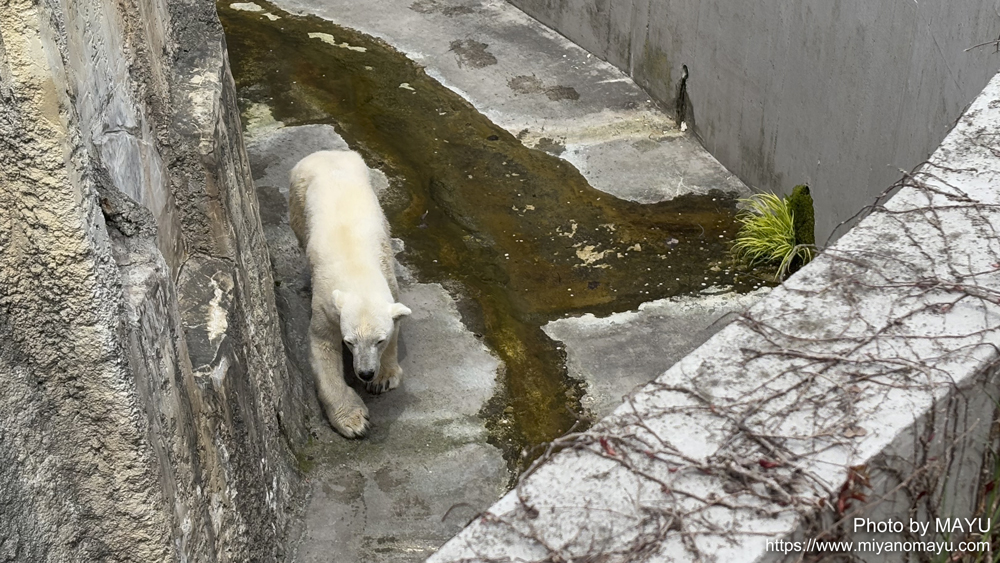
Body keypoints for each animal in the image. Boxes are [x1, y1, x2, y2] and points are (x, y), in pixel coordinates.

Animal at [288, 150, 411, 438]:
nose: (365, 373)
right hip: (298, 197)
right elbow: (323, 348)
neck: (356, 269)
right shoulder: (326, 305)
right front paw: (354, 421)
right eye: (349, 342)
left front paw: (383, 378)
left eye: (379, 340)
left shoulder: (390, 281)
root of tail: (326, 152)